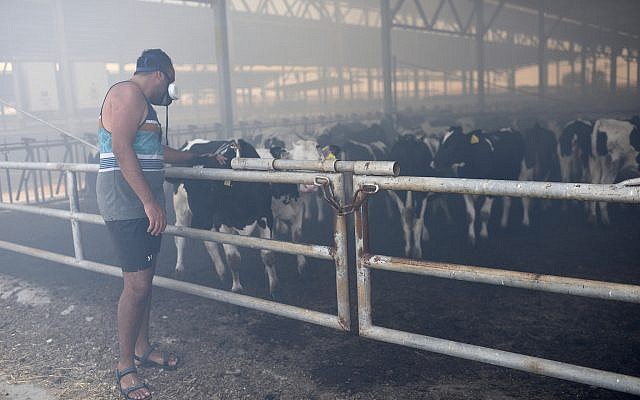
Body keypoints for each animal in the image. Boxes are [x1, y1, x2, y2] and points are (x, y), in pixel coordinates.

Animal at [171, 138, 278, 296]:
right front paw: (237, 288)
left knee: (209, 242)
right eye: (188, 187)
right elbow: (233, 258)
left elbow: (268, 254)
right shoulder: (221, 221)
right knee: (180, 235)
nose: (197, 221)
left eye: (211, 186)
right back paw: (180, 269)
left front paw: (273, 287)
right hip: (183, 210)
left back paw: (221, 272)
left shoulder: (266, 216)